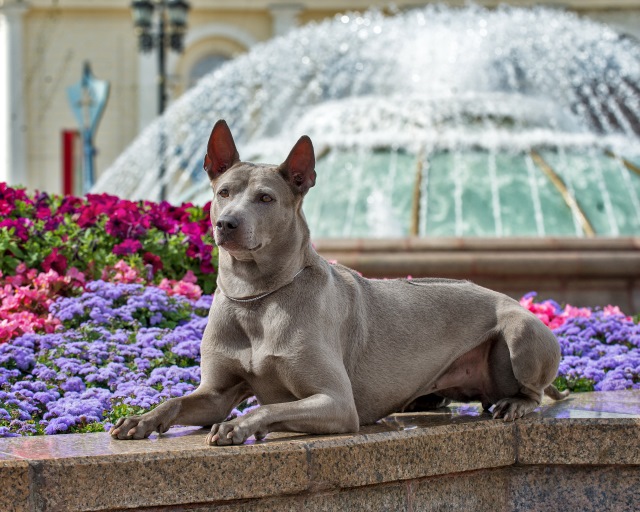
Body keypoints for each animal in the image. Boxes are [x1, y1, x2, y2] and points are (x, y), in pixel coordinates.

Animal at [109, 120, 564, 444]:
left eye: (265, 198)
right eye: (223, 192)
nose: (227, 224)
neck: (256, 299)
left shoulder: (337, 403)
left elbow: (270, 408)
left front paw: (240, 426)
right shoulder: (215, 394)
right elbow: (176, 401)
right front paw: (141, 418)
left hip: (520, 332)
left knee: (535, 392)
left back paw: (514, 404)